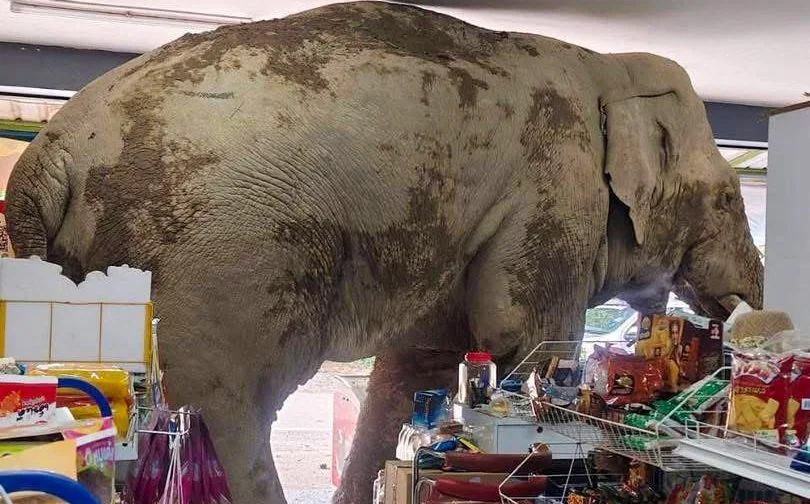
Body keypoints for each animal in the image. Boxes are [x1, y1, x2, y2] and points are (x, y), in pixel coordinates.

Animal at [6, 2, 763, 503]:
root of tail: (47, 153)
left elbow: (412, 370)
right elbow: (528, 339)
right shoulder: (554, 187)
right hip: (228, 250)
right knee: (234, 399)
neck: (606, 69)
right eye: (730, 201)